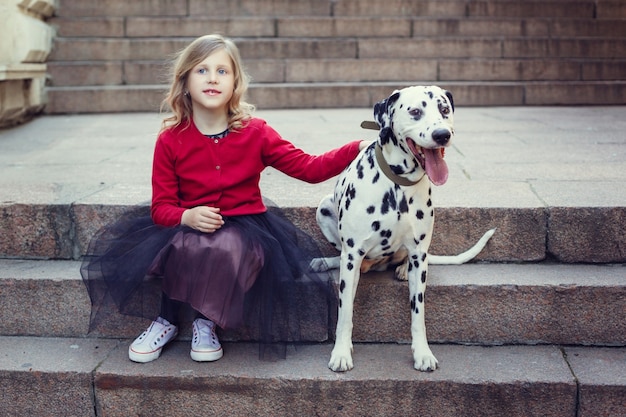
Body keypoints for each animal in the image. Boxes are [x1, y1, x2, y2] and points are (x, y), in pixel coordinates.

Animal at [312, 84, 492, 370]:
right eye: (415, 112)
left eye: (444, 109)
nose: (442, 135)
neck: (398, 185)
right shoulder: (351, 256)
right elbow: (345, 311)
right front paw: (341, 352)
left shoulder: (419, 254)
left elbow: (418, 314)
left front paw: (423, 353)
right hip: (325, 208)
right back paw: (325, 261)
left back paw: (401, 269)